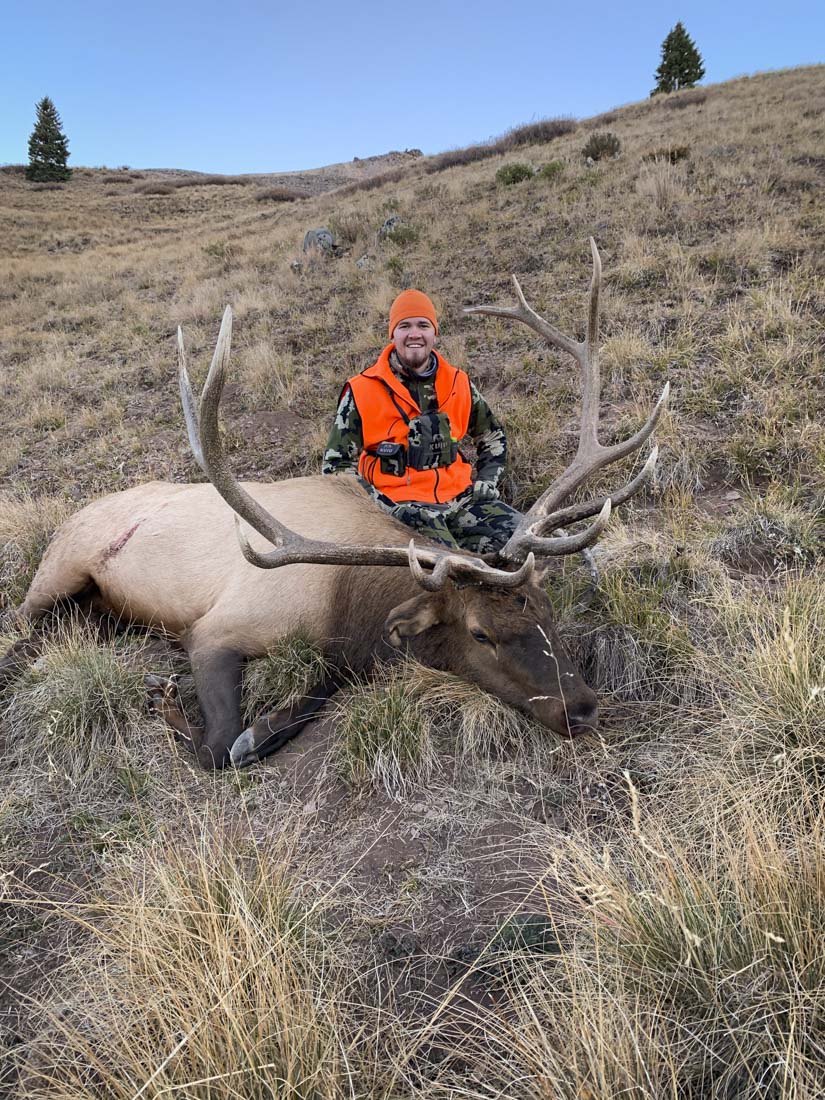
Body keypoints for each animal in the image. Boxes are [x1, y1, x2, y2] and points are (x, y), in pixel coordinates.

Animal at [0, 240, 668, 769]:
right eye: (481, 633)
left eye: (545, 608)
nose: (583, 709)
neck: (347, 604)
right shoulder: (215, 629)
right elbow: (218, 746)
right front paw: (177, 705)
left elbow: (315, 691)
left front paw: (261, 724)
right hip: (58, 570)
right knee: (22, 624)